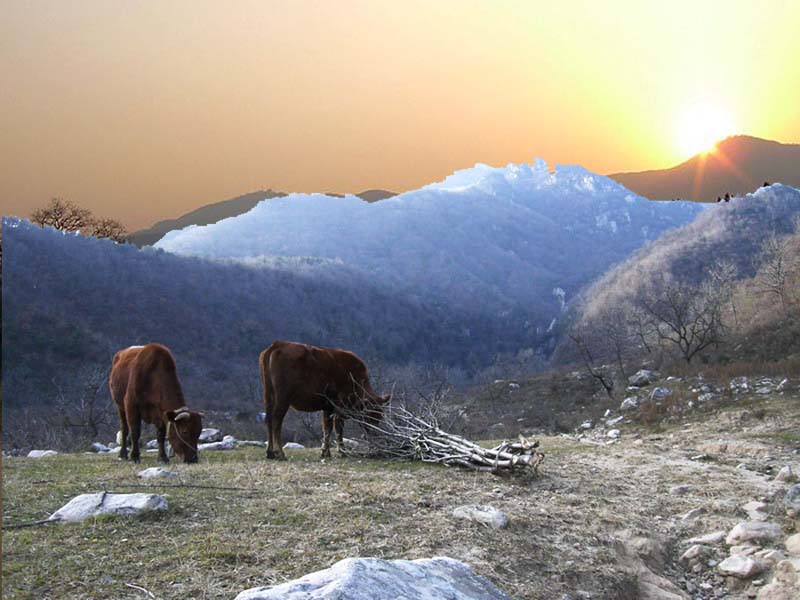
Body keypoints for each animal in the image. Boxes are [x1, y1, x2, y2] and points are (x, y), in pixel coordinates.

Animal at [260, 342, 390, 460]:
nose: (374, 434)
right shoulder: (339, 408)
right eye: (370, 415)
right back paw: (280, 454)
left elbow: (327, 429)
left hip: (268, 397)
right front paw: (341, 452)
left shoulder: (327, 408)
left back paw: (270, 453)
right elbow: (338, 428)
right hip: (283, 399)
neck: (355, 380)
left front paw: (325, 453)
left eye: (379, 416)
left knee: (269, 420)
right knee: (276, 421)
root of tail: (277, 344)